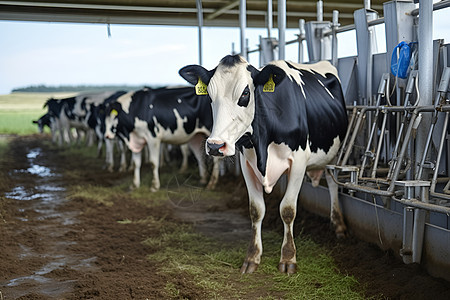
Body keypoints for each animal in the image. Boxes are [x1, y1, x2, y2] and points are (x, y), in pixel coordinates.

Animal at [179, 54, 348, 274]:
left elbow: (288, 209)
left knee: (333, 183)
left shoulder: (299, 161)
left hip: (335, 152)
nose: (215, 145)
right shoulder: (246, 163)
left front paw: (288, 258)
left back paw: (338, 225)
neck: (263, 142)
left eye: (245, 93)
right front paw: (252, 257)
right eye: (209, 94)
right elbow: (256, 210)